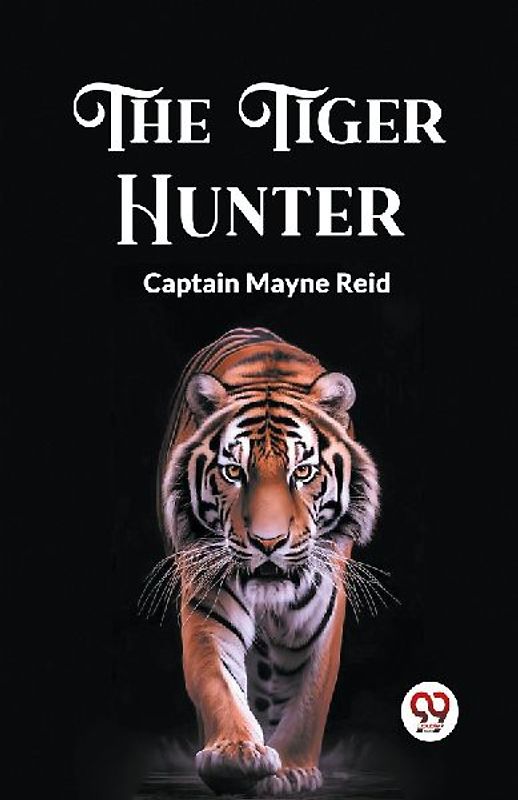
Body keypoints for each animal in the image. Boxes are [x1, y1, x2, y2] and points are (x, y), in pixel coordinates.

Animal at [156, 327, 380, 796]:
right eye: (234, 472)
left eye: (303, 472)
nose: (268, 541)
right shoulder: (208, 606)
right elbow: (217, 682)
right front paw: (235, 754)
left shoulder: (322, 617)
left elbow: (309, 697)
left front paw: (292, 770)